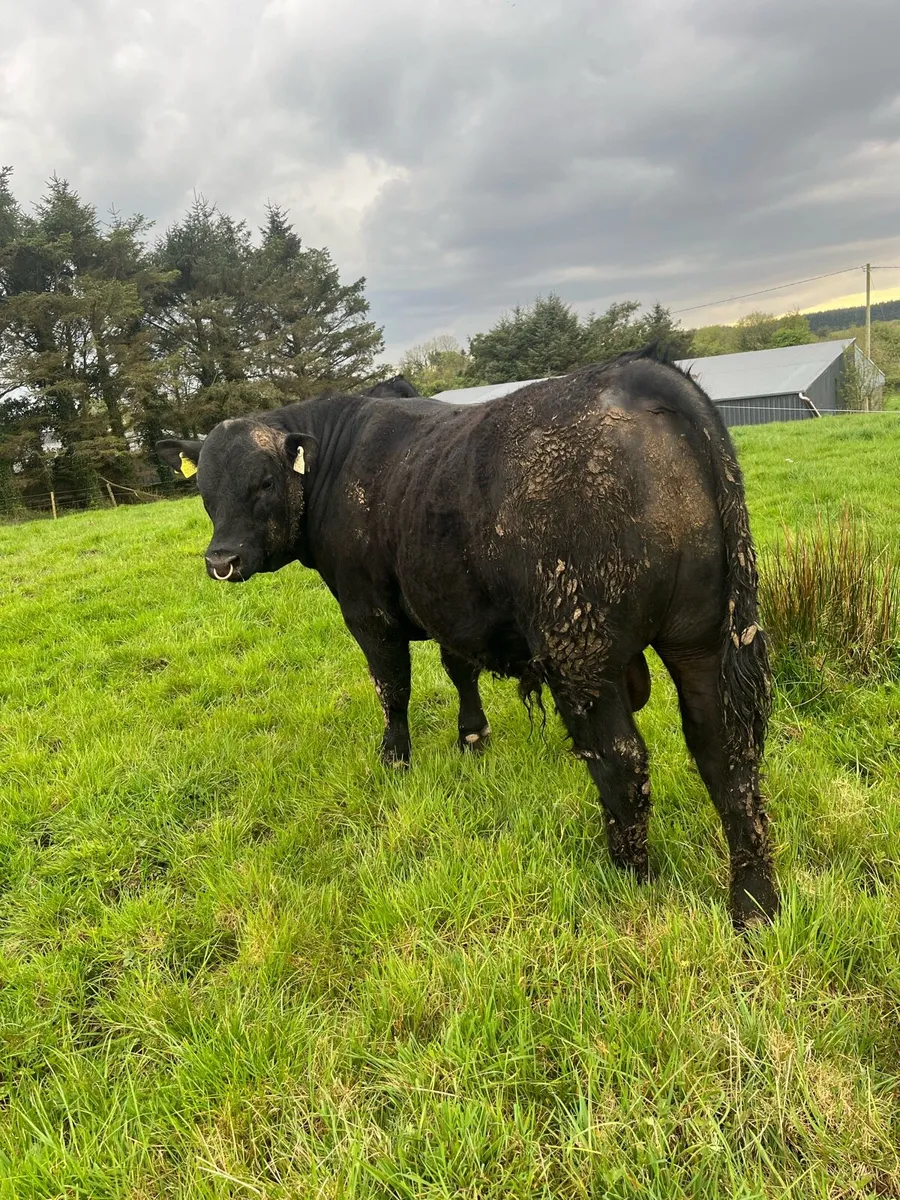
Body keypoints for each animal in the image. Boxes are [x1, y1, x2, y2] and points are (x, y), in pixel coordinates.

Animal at [156, 350, 777, 927]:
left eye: (263, 482)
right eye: (205, 490)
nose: (221, 561)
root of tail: (642, 373)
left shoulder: (367, 612)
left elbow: (392, 688)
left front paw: (395, 759)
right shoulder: (450, 608)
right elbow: (460, 671)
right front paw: (472, 736)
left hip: (582, 649)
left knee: (622, 759)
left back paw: (628, 877)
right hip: (703, 639)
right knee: (728, 752)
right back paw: (754, 903)